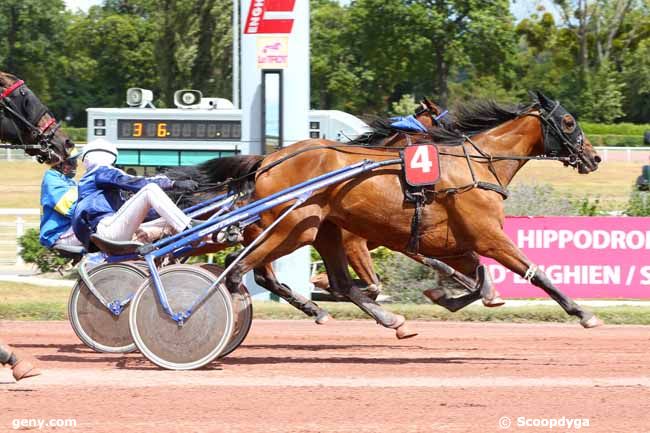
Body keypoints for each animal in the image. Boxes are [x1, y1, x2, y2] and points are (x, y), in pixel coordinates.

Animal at [215, 91, 604, 334]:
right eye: (568, 122)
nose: (595, 157)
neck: (475, 166)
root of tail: (267, 162)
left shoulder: (449, 243)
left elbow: (476, 279)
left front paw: (445, 297)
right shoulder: (489, 237)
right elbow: (536, 274)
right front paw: (584, 313)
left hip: (320, 230)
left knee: (334, 282)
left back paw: (385, 320)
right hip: (295, 228)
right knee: (240, 268)